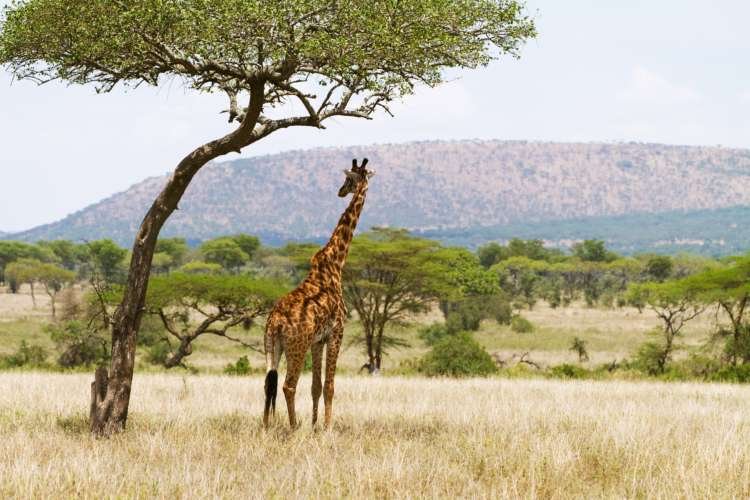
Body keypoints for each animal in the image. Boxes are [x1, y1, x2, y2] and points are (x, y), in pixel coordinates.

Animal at [263, 158, 374, 429]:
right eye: (348, 178)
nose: (341, 191)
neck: (336, 262)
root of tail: (275, 322)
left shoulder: (318, 340)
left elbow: (315, 386)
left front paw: (315, 426)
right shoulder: (336, 332)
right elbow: (329, 386)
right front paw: (326, 427)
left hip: (272, 346)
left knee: (268, 384)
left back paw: (266, 426)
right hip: (297, 346)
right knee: (288, 385)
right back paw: (293, 428)